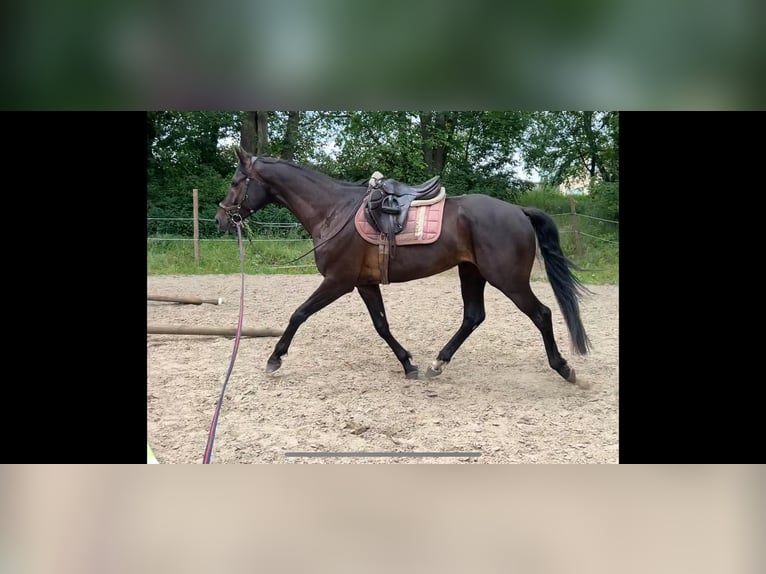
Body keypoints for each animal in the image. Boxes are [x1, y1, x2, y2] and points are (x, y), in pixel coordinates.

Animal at [215, 147, 591, 385]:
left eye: (235, 182)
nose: (221, 219)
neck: (333, 210)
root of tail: (518, 211)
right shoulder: (364, 283)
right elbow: (382, 325)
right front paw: (408, 363)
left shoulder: (338, 281)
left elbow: (298, 314)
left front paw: (275, 358)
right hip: (472, 273)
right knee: (473, 316)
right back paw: (438, 364)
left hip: (508, 280)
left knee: (541, 314)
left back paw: (564, 368)